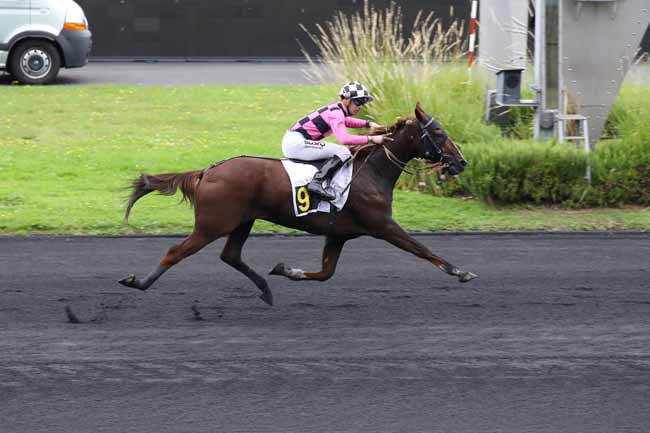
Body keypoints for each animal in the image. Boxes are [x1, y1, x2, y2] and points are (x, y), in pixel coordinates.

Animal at [119, 102, 476, 304]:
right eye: (439, 132)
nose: (461, 162)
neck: (371, 171)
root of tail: (208, 170)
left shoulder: (339, 234)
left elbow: (325, 273)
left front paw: (286, 269)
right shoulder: (382, 225)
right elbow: (422, 249)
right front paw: (461, 271)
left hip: (243, 221)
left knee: (230, 255)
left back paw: (266, 289)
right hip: (213, 224)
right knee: (175, 252)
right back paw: (139, 282)